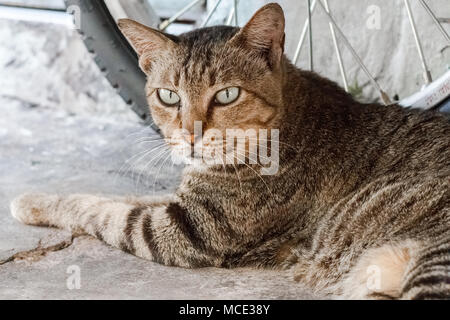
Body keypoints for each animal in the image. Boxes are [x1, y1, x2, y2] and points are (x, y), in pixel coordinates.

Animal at [9, 3, 446, 298]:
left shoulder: (187, 229)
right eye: (169, 96)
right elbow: (121, 197)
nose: (190, 135)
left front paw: (33, 203)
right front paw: (37, 197)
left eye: (227, 95)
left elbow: (102, 211)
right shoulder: (182, 203)